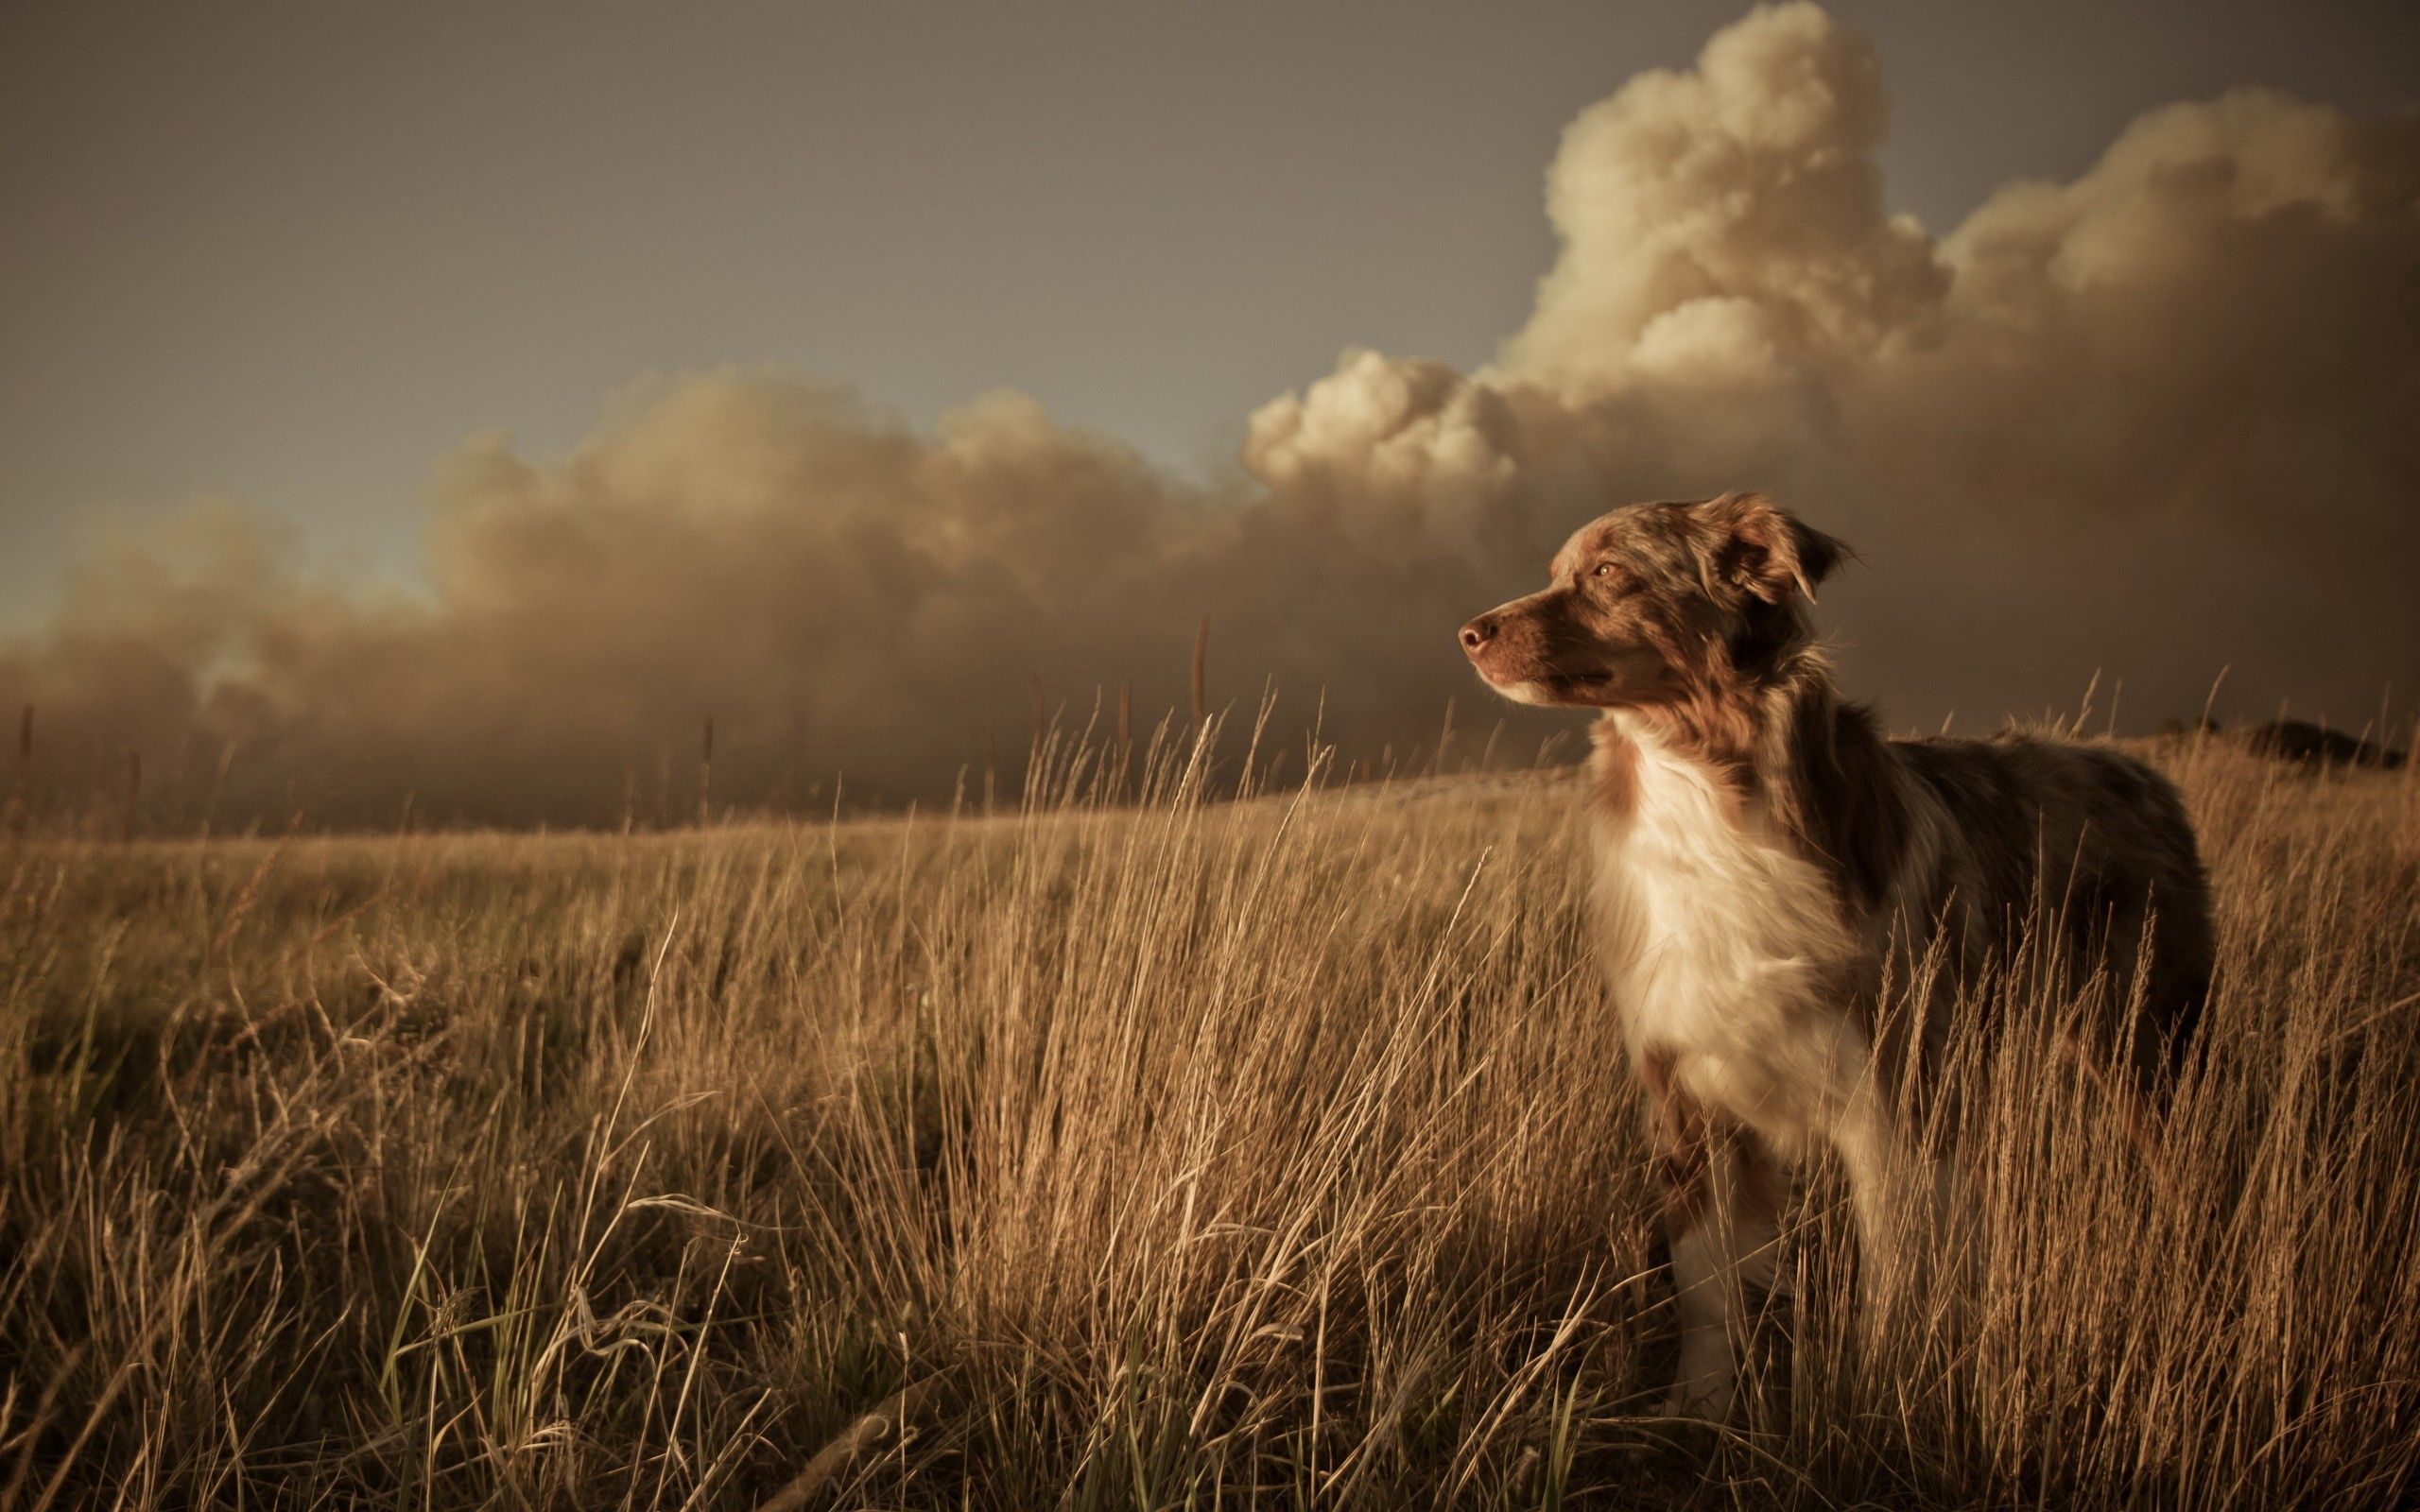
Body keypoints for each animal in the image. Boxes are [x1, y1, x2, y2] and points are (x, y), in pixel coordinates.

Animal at [1452, 486, 2216, 1413]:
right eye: (1560, 571)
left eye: (1607, 572)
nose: (1469, 633)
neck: (1703, 786)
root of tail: (2145, 774)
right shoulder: (1687, 1099)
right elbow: (1708, 1290)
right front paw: (1695, 1410)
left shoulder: (1892, 1099)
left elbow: (1896, 1276)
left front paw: (1879, 1397)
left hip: (2149, 1050)